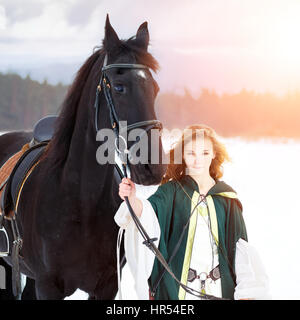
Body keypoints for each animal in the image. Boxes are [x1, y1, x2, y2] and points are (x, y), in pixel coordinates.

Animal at [0, 16, 166, 298]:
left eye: (154, 88)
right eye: (119, 87)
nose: (153, 166)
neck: (79, 199)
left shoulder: (107, 285)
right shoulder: (48, 285)